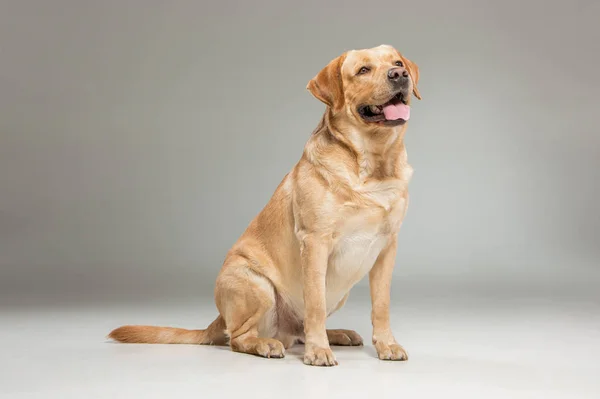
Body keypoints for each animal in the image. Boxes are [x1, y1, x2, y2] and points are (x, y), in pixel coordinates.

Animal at [110, 45, 424, 368]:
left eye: (396, 62)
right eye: (363, 70)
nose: (399, 74)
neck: (373, 166)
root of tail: (218, 318)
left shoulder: (387, 247)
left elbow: (381, 305)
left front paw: (386, 344)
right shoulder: (315, 242)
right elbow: (314, 303)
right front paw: (318, 351)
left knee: (298, 330)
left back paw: (336, 334)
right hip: (255, 285)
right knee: (239, 337)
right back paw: (267, 344)